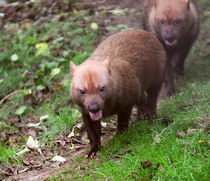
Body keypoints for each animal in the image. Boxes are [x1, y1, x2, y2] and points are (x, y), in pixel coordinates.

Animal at [69, 30, 167, 158]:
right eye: (82, 91)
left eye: (102, 89)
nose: (94, 108)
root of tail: (147, 33)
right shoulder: (86, 113)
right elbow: (93, 134)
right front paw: (93, 151)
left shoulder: (126, 104)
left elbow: (122, 123)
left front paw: (119, 138)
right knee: (142, 99)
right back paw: (140, 117)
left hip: (157, 79)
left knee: (152, 99)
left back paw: (150, 116)